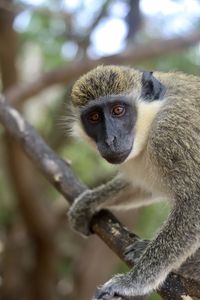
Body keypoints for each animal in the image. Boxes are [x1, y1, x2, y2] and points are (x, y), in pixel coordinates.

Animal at [67, 65, 200, 298]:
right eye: (94, 117)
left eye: (118, 110)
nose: (110, 140)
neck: (154, 114)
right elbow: (143, 187)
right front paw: (89, 202)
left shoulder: (171, 132)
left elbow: (194, 200)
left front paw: (133, 282)